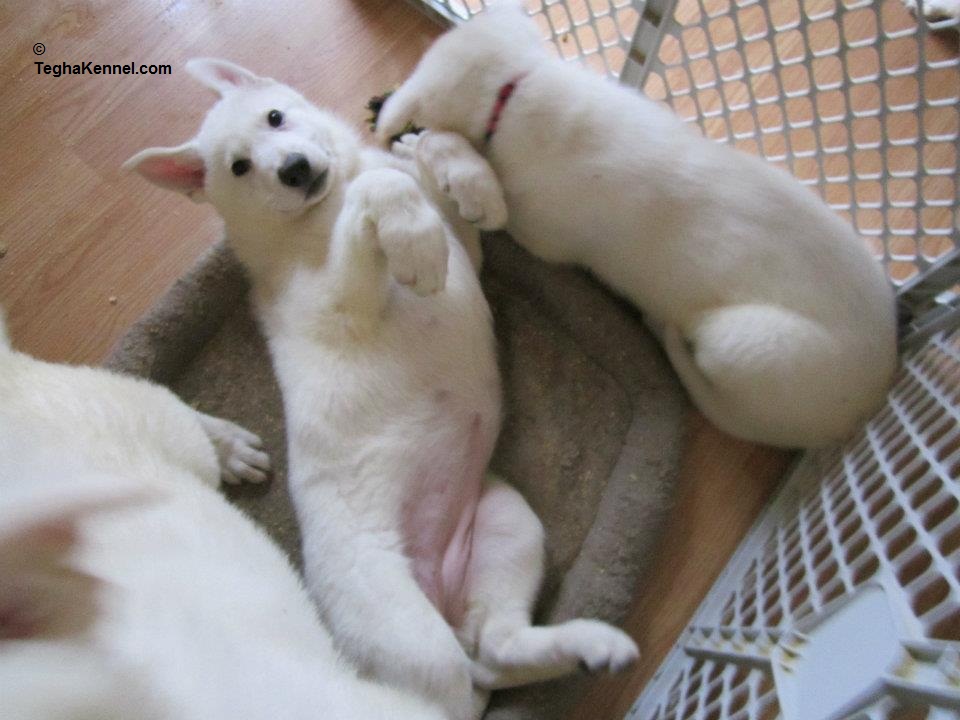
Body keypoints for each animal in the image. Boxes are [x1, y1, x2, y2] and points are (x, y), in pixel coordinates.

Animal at [125, 57, 636, 720]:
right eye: (238, 167)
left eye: (275, 117)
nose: (294, 169)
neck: (325, 200)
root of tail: (438, 590)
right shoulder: (339, 303)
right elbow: (385, 192)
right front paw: (414, 237)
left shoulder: (462, 249)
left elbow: (434, 166)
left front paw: (466, 179)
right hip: (411, 635)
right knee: (460, 682)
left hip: (509, 524)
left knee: (496, 646)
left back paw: (590, 646)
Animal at [376, 4, 900, 450]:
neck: (521, 85)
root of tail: (871, 399)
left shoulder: (539, 233)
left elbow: (451, 159)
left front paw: (416, 148)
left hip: (738, 345)